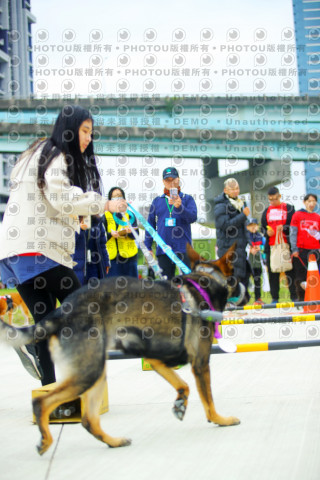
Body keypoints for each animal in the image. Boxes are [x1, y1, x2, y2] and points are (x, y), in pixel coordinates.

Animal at [0, 244, 240, 454]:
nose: (244, 291)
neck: (207, 279)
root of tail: (61, 312)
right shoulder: (200, 362)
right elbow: (208, 400)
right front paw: (220, 419)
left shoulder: (154, 358)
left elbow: (183, 384)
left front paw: (180, 402)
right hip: (88, 372)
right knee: (42, 402)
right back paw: (46, 440)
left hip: (96, 371)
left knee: (89, 420)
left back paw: (113, 441)